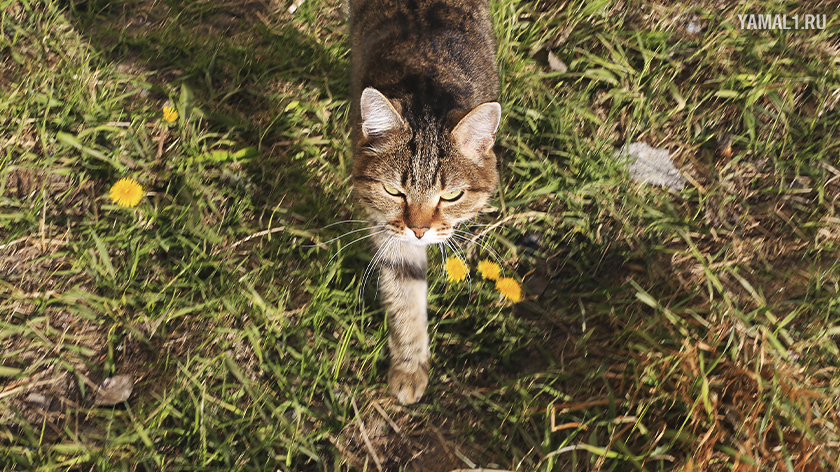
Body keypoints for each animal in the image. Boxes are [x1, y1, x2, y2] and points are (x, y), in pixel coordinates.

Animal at [346, 0, 498, 404]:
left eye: (452, 195)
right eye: (394, 191)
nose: (418, 230)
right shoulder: (387, 226)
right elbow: (404, 291)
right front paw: (410, 365)